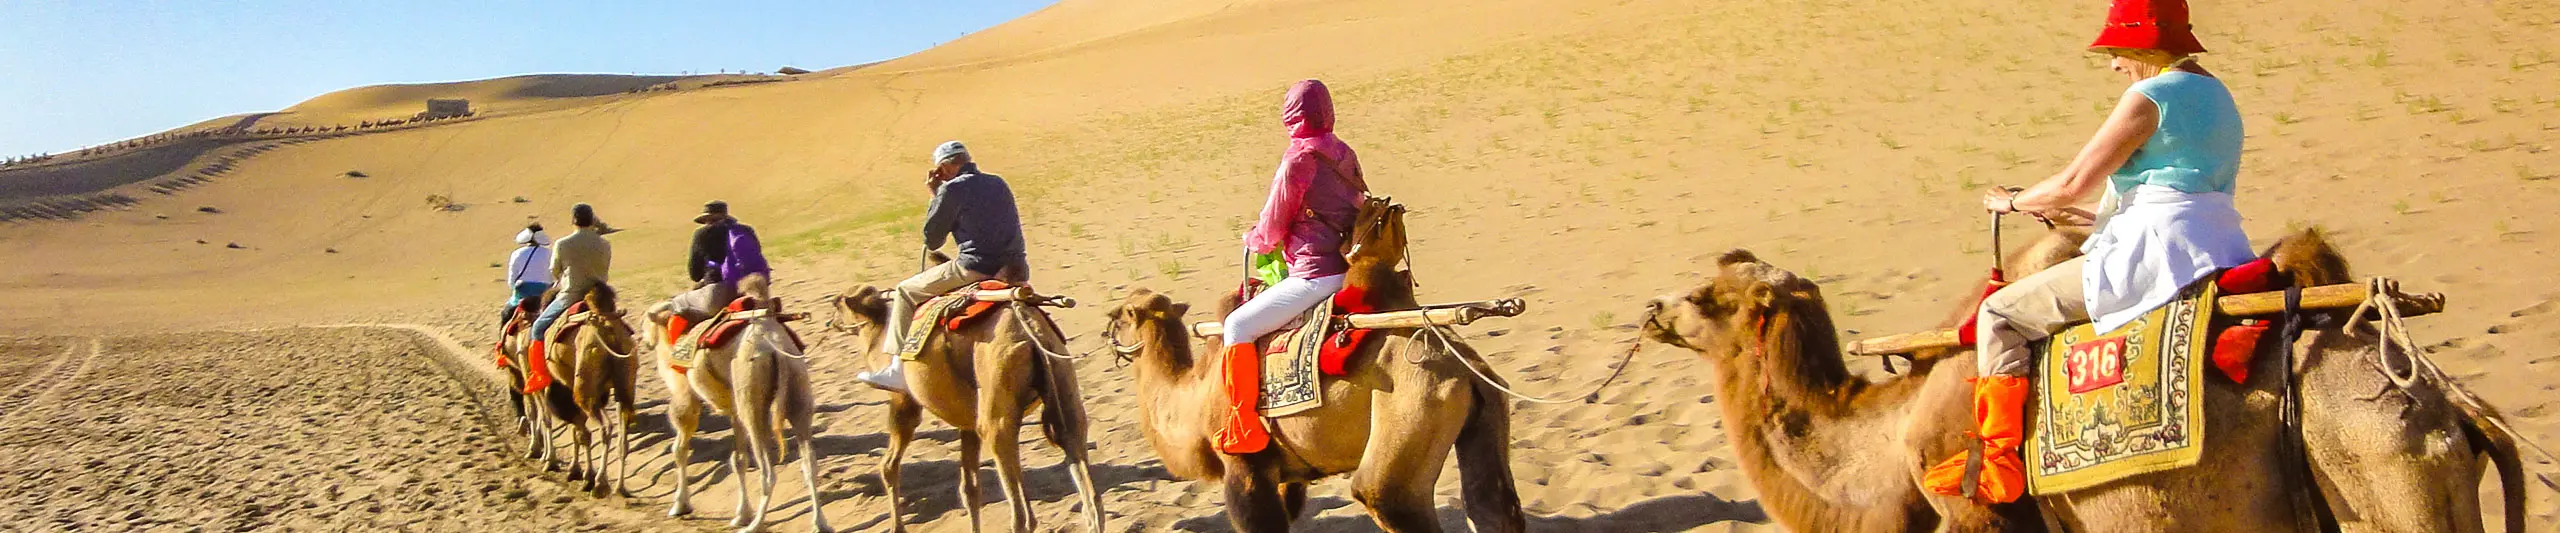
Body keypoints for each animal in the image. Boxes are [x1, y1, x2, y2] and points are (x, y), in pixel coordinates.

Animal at [640, 276, 829, 533]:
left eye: (642, 322)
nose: (643, 341)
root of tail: (775, 346)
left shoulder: (685, 395)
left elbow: (679, 448)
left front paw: (680, 505)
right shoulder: (734, 408)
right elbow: (738, 459)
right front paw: (741, 514)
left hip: (751, 397)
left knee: (768, 470)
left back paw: (755, 525)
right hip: (796, 389)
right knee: (809, 462)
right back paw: (820, 523)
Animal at [824, 272, 1095, 530]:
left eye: (837, 303)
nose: (830, 322)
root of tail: (1032, 333)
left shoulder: (904, 400)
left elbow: (889, 466)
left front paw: (896, 527)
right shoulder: (968, 423)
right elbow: (970, 490)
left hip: (996, 414)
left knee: (1022, 516)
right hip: (1063, 385)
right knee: (1089, 499)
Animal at [1095, 198, 1525, 533]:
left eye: (1118, 316)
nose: (1104, 333)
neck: (1193, 398)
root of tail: (1466, 368)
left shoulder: (1244, 468)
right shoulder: (1289, 475)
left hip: (1410, 416)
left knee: (1381, 494)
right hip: (1484, 417)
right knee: (1492, 508)